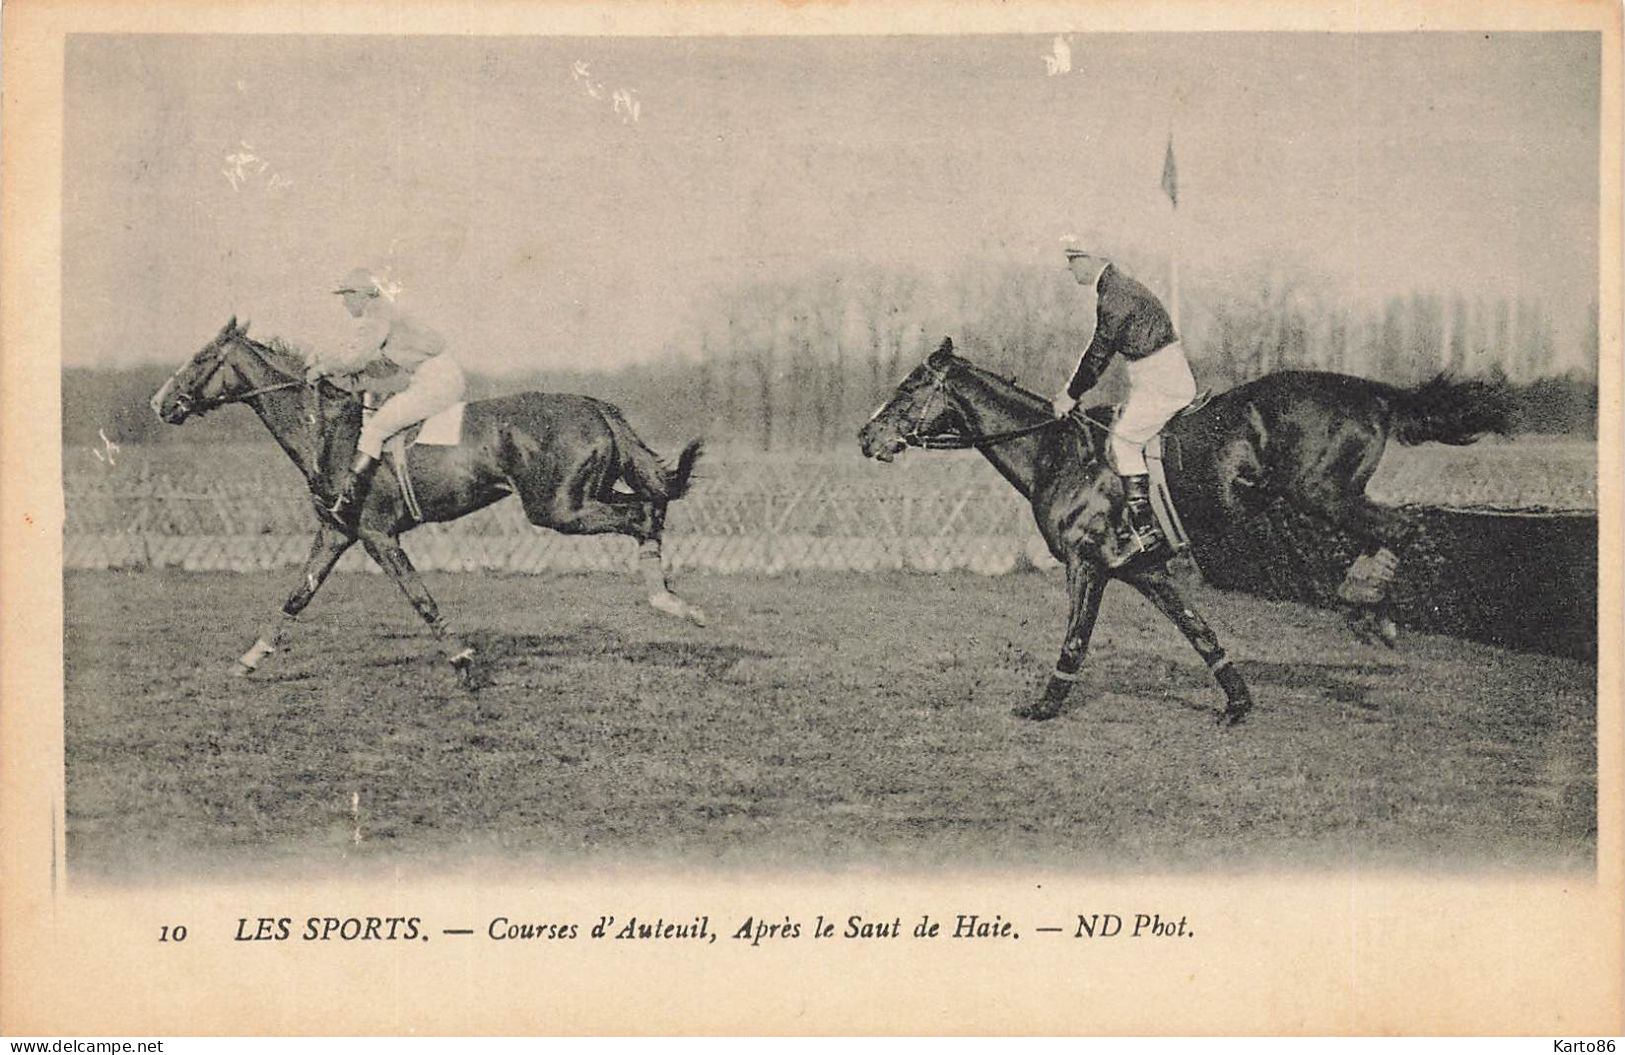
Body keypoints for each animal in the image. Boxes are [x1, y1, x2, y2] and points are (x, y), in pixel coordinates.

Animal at [152, 316, 705, 682]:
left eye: (200, 359)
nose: (160, 404)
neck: (326, 432)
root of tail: (595, 404)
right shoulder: (337, 531)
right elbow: (299, 592)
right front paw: (251, 656)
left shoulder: (376, 534)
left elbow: (418, 595)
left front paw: (462, 659)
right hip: (585, 493)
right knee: (651, 505)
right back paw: (673, 599)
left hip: (557, 508)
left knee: (641, 514)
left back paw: (670, 602)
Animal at [864, 339, 1508, 725]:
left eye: (908, 387)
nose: (865, 437)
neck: (1056, 451)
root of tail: (1371, 390)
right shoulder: (1144, 571)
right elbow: (1200, 632)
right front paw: (1238, 702)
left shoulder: (1087, 563)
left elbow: (1076, 638)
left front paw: (1045, 705)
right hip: (1329, 496)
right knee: (1395, 527)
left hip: (1321, 493)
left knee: (1403, 526)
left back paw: (1371, 609)